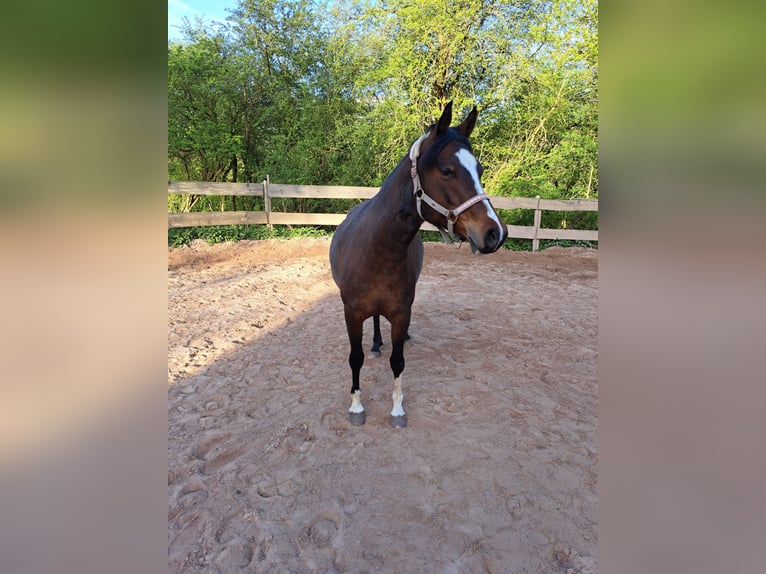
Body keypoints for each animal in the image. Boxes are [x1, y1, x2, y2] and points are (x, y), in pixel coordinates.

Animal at [328, 102, 504, 428]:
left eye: (480, 170)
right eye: (447, 170)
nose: (495, 233)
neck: (377, 252)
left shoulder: (401, 313)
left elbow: (398, 361)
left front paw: (397, 410)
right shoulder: (351, 314)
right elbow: (355, 358)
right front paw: (356, 407)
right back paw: (375, 344)